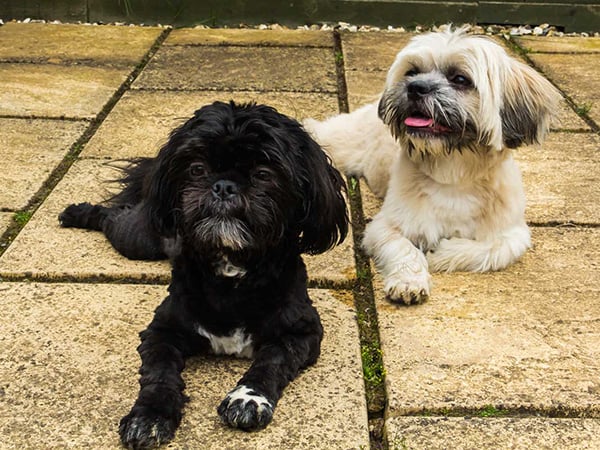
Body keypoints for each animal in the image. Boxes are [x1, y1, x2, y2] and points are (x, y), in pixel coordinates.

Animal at [57, 103, 346, 450]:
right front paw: (149, 416)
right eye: (196, 169)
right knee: (111, 216)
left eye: (264, 174)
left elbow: (271, 361)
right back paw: (76, 213)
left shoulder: (303, 332)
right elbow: (159, 374)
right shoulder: (162, 331)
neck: (232, 275)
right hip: (138, 238)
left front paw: (248, 398)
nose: (223, 186)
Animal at [308, 29, 560, 306]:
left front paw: (439, 253)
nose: (415, 87)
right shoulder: (384, 227)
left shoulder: (513, 234)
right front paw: (409, 281)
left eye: (460, 79)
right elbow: (404, 248)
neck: (453, 176)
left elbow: (493, 249)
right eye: (412, 72)